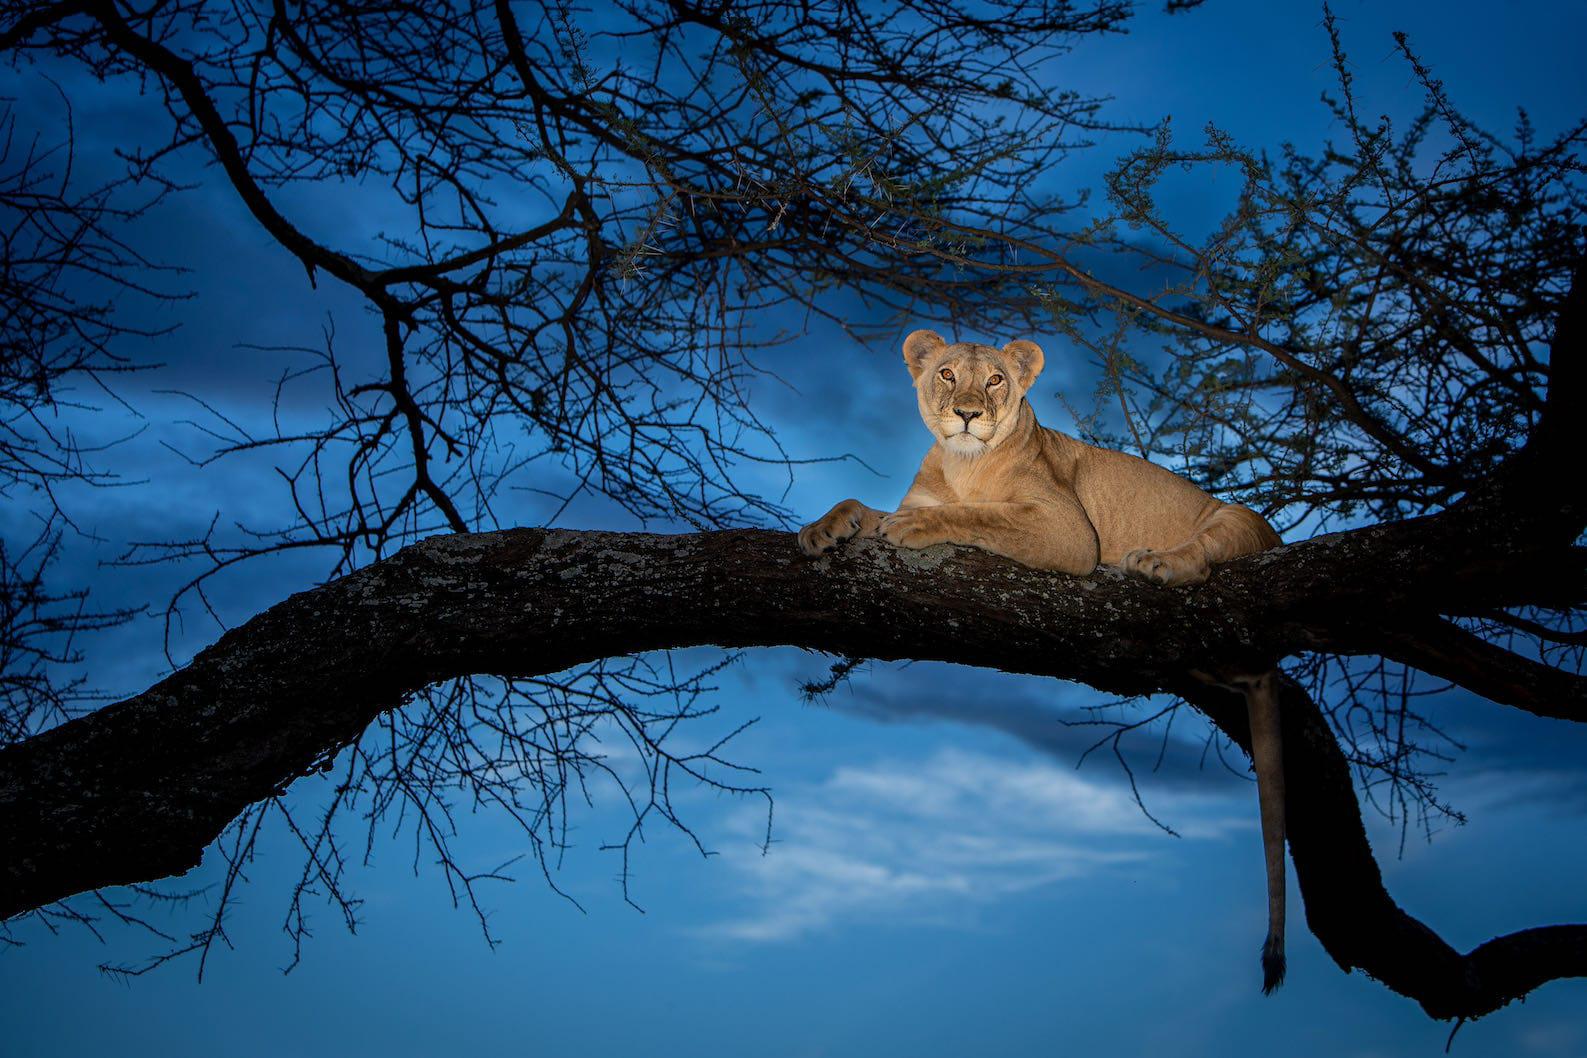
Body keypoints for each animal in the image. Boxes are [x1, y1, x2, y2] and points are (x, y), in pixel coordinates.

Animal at [797, 329, 1288, 992]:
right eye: (947, 374)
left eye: (995, 380)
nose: (968, 413)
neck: (964, 463)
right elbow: (861, 505)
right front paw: (821, 529)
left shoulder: (1067, 531)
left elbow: (979, 516)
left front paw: (922, 525)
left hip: (1237, 520)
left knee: (1205, 554)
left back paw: (1157, 562)